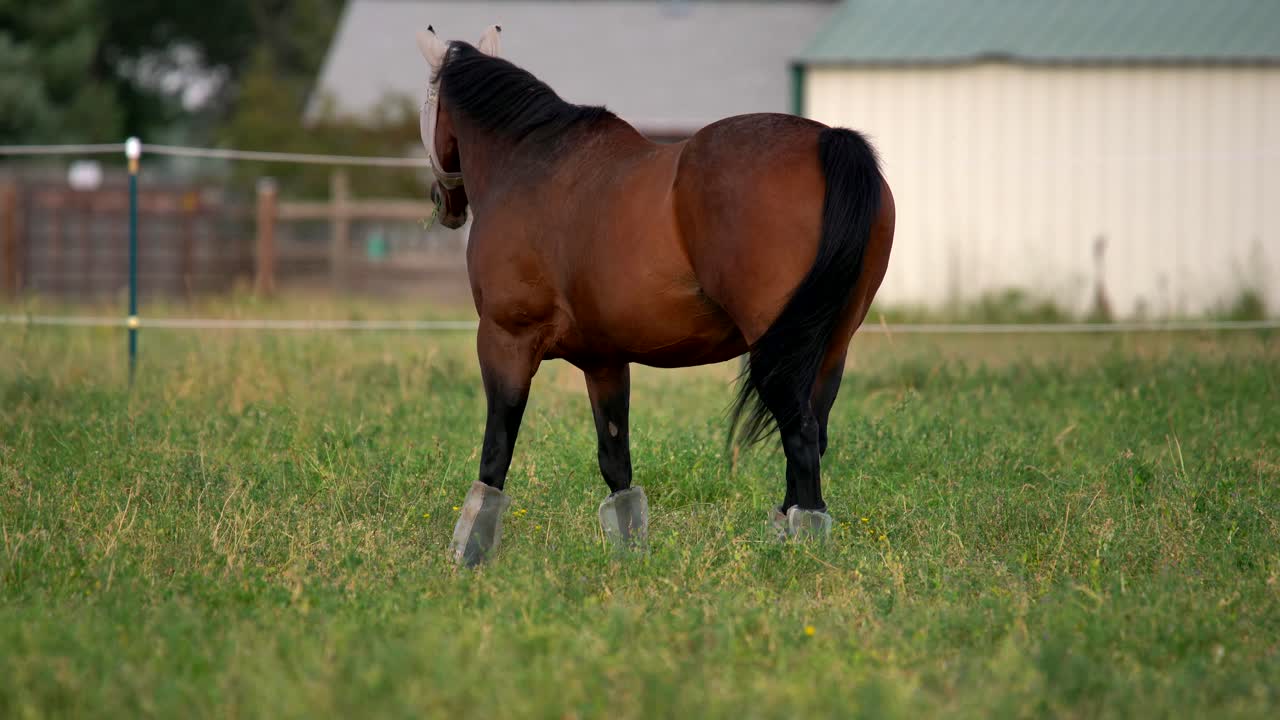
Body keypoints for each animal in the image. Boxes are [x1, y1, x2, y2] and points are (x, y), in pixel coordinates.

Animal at [416, 26, 895, 566]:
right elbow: (615, 460)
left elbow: (496, 451)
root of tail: (828, 139)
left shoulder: (505, 339)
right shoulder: (603, 360)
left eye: (428, 100)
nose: (443, 203)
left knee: (802, 437)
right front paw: (629, 552)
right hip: (829, 347)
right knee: (814, 432)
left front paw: (468, 552)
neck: (531, 162)